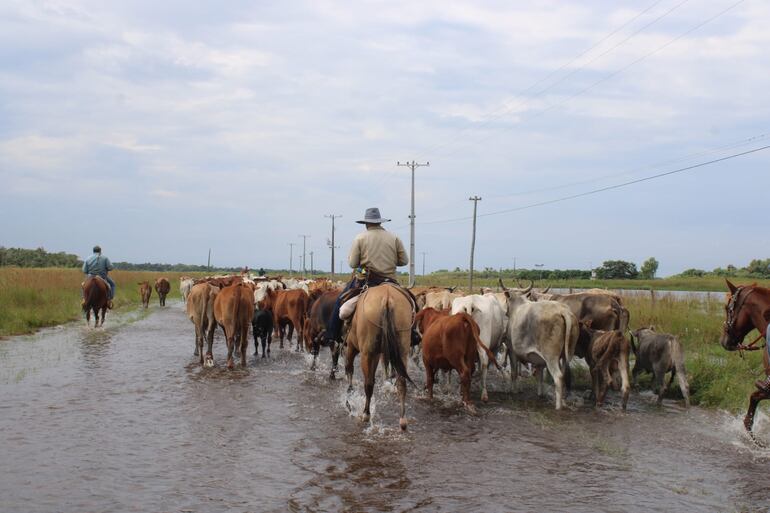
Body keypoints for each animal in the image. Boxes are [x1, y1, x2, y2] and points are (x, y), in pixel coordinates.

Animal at [344, 282, 414, 430]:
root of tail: (387, 298)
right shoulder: (377, 354)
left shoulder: (352, 347)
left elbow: (349, 368)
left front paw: (349, 398)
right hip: (402, 349)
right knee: (402, 382)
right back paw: (403, 420)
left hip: (366, 353)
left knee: (368, 383)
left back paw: (366, 414)